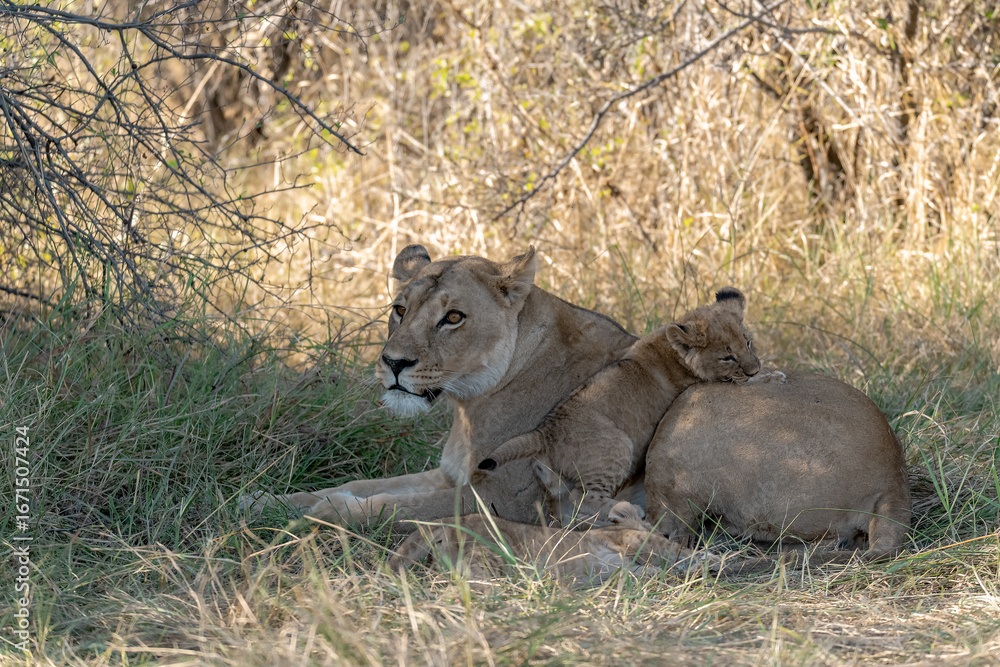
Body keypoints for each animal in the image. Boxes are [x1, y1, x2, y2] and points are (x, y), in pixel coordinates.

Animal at [246, 245, 638, 527]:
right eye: (400, 309)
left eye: (453, 317)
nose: (394, 363)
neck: (469, 406)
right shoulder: (451, 475)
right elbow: (364, 486)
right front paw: (263, 501)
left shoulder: (509, 497)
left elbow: (396, 506)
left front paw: (327, 512)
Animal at [388, 500, 721, 584]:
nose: (661, 531)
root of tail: (444, 522)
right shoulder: (635, 540)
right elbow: (676, 553)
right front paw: (713, 560)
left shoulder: (623, 564)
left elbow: (647, 571)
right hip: (494, 554)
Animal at [473, 287, 761, 524]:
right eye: (727, 357)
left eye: (748, 342)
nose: (755, 371)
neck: (671, 350)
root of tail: (545, 432)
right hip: (617, 447)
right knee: (582, 497)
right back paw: (627, 509)